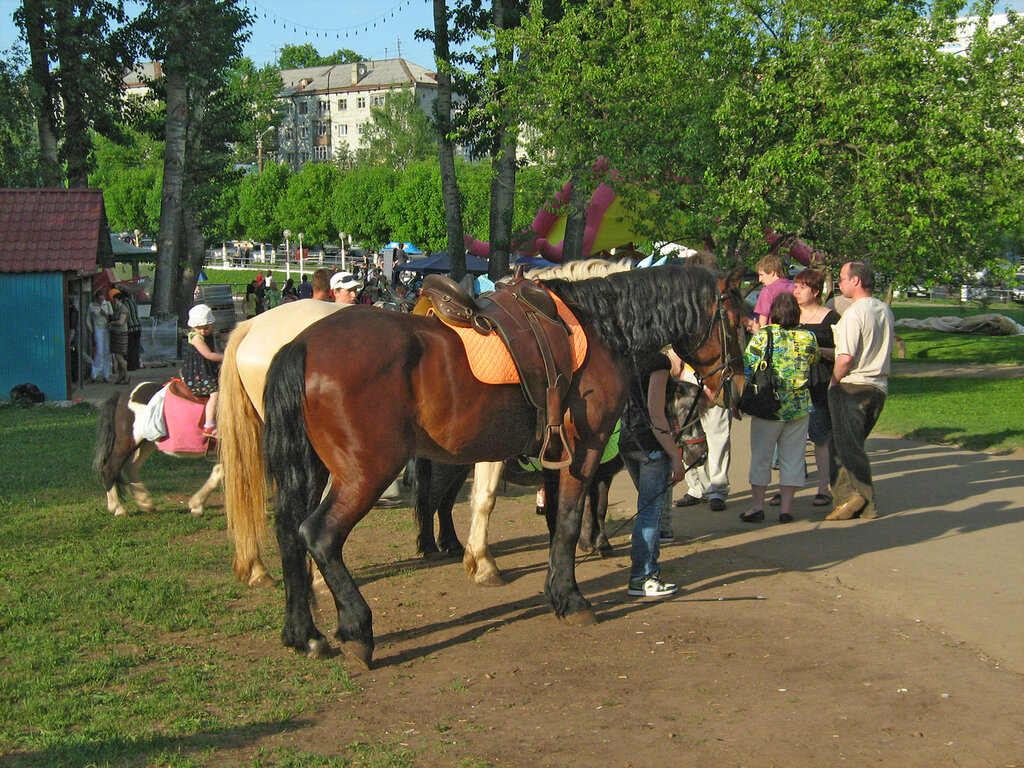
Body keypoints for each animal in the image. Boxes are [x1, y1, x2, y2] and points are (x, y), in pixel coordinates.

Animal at [224, 264, 741, 667]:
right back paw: (357, 630)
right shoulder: (585, 451)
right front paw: (571, 599)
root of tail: (303, 343)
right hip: (366, 472)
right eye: (736, 319)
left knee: (290, 533)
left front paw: (554, 590)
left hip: (310, 468)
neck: (595, 329)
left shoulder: (554, 456)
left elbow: (554, 524)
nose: (734, 385)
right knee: (320, 535)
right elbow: (569, 522)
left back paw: (304, 634)